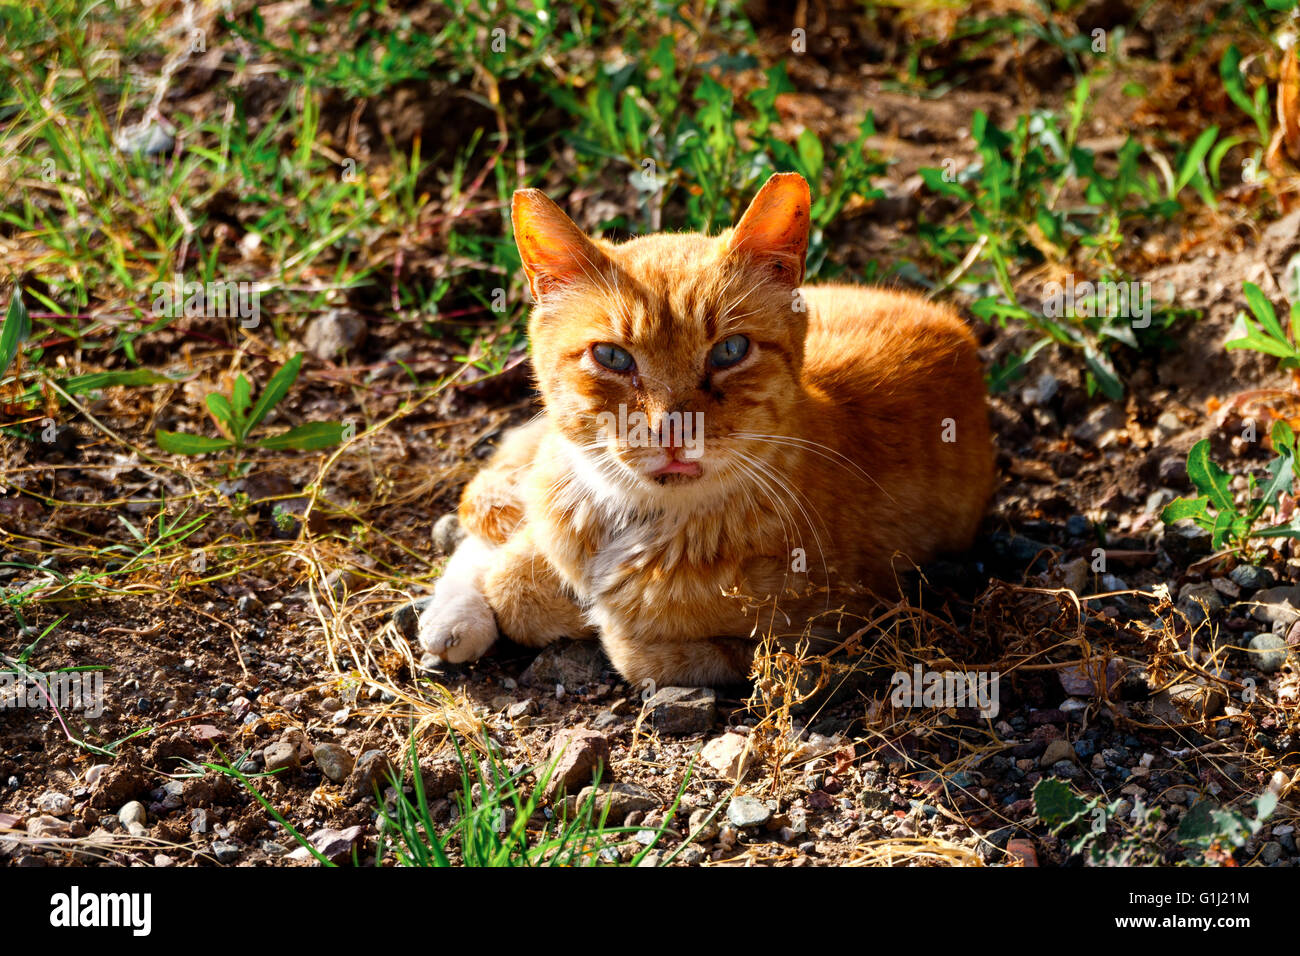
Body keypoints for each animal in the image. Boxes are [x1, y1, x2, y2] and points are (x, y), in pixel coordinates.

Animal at [418, 170, 993, 681]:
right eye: (612, 357)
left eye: (730, 351)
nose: (674, 430)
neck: (635, 521)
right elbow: (514, 576)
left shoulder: (833, 625)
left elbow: (618, 641)